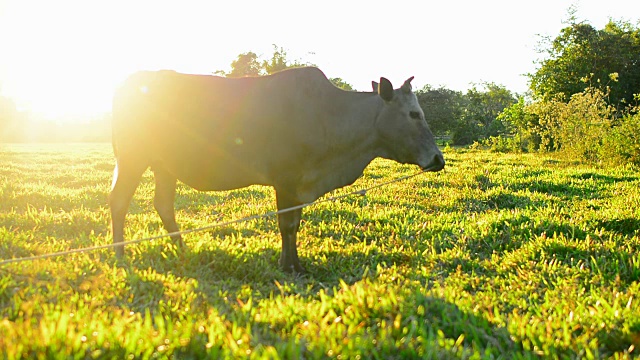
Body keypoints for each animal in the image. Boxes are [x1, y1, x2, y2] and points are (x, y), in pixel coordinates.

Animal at [110, 67, 444, 272]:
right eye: (414, 114)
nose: (438, 158)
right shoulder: (285, 181)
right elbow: (287, 225)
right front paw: (288, 266)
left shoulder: (298, 185)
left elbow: (294, 224)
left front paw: (294, 263)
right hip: (131, 157)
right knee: (119, 201)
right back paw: (120, 254)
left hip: (163, 165)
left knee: (163, 204)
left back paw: (180, 248)